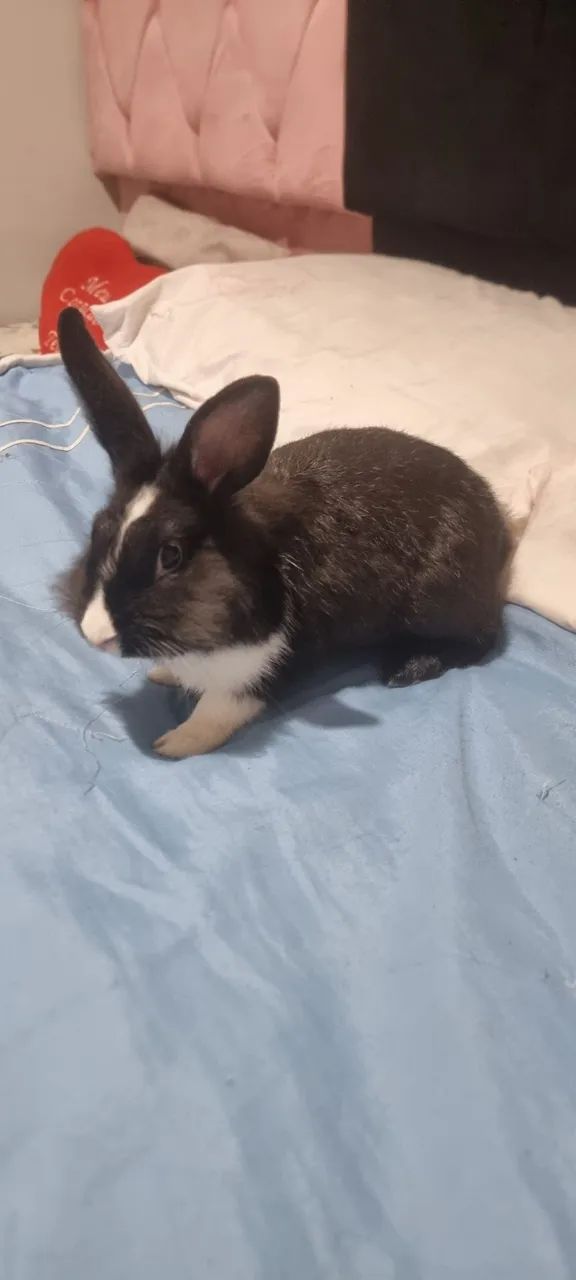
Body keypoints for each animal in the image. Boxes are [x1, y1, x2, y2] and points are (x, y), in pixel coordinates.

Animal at [57, 306, 510, 758]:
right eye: (98, 529)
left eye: (171, 555)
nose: (94, 634)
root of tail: (495, 518)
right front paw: (164, 675)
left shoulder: (262, 667)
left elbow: (216, 713)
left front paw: (174, 743)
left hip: (440, 603)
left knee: (482, 640)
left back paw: (407, 667)